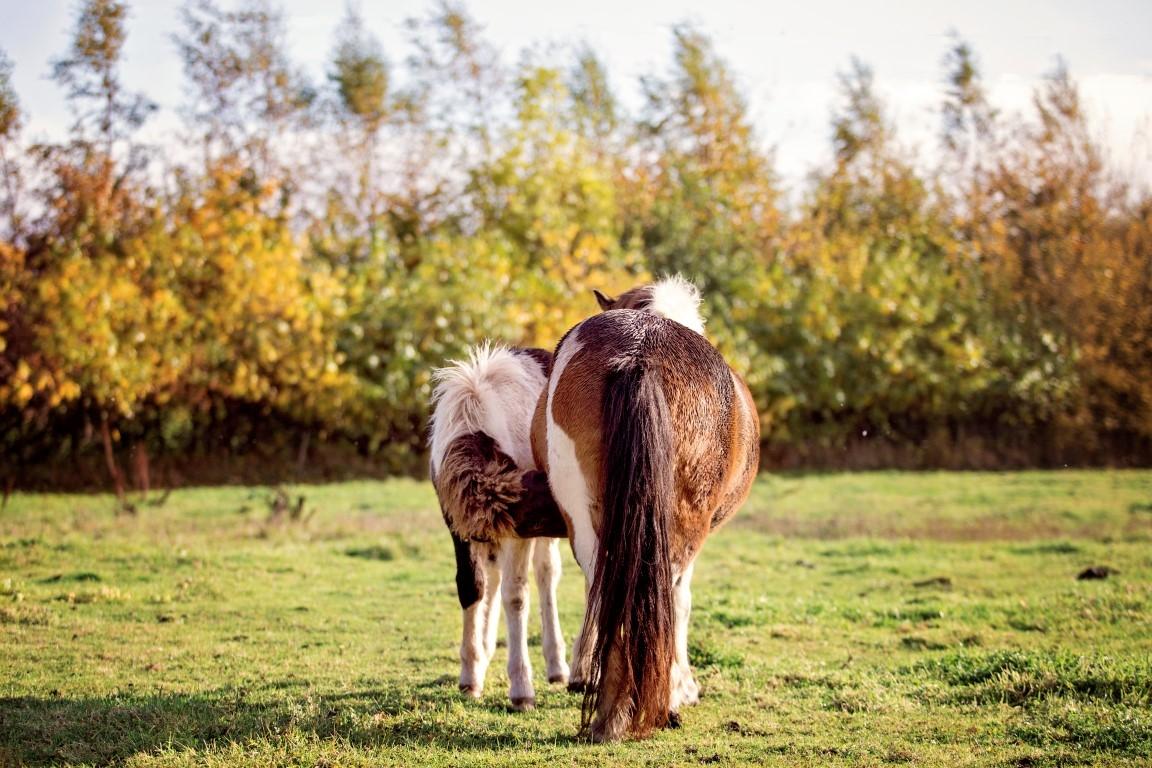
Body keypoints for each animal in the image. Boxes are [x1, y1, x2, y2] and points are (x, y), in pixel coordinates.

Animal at [532, 276, 764, 736]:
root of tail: (639, 353)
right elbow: (683, 602)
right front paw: (685, 687)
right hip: (681, 527)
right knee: (665, 595)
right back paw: (661, 700)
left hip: (586, 518)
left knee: (605, 584)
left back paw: (612, 710)